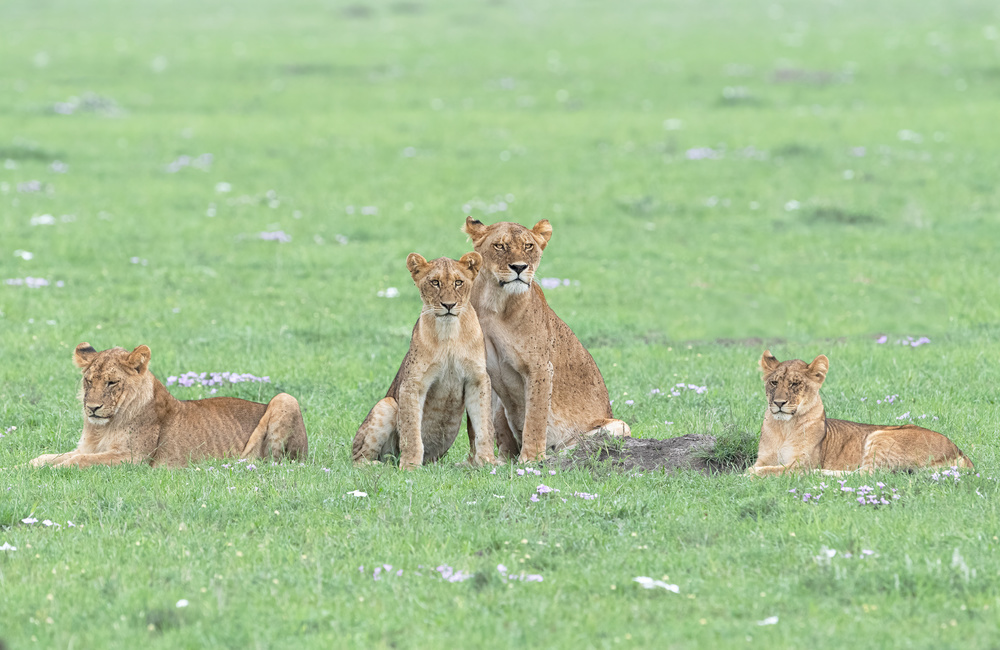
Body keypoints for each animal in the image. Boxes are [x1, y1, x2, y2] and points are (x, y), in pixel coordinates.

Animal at [31, 342, 306, 468]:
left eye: (111, 382)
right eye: (88, 381)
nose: (92, 408)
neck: (103, 427)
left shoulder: (135, 458)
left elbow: (81, 460)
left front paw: (57, 469)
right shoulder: (88, 446)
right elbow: (55, 455)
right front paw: (31, 464)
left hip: (285, 399)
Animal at [352, 251, 500, 468]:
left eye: (458, 282)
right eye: (435, 282)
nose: (449, 305)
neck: (449, 333)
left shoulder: (477, 379)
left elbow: (484, 425)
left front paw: (488, 461)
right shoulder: (413, 383)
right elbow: (411, 430)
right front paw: (410, 466)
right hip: (387, 404)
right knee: (358, 459)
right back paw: (383, 466)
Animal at [464, 218, 628, 460]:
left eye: (528, 246)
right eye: (500, 246)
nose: (520, 267)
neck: (494, 303)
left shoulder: (540, 368)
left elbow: (535, 418)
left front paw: (530, 459)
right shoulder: (479, 369)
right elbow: (479, 423)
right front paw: (481, 461)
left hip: (618, 425)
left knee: (580, 447)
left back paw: (552, 456)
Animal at [752, 350, 972, 476]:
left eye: (795, 384)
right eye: (774, 382)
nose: (779, 403)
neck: (783, 427)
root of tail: (959, 451)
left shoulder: (802, 463)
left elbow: (769, 471)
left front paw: (750, 475)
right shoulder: (764, 457)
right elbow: (763, 466)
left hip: (880, 435)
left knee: (866, 475)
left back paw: (820, 473)